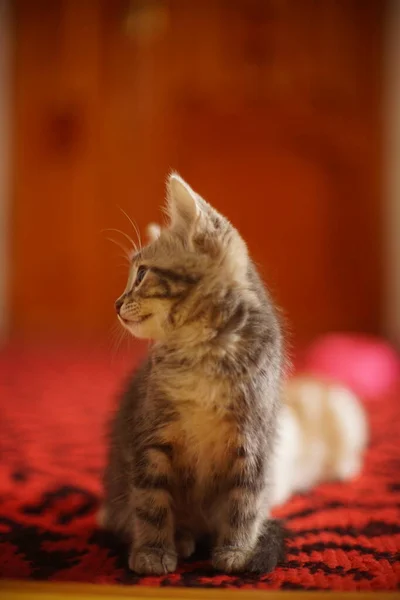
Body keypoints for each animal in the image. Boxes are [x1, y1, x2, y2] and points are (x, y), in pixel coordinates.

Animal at [101, 173, 288, 576]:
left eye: (141, 273)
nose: (117, 304)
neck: (204, 355)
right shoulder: (151, 436)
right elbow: (151, 501)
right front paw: (153, 552)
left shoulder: (253, 441)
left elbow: (244, 502)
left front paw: (236, 552)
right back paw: (183, 538)